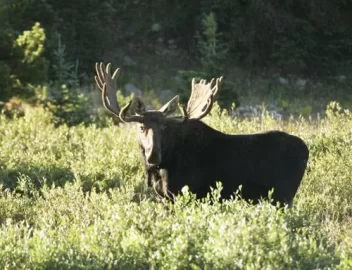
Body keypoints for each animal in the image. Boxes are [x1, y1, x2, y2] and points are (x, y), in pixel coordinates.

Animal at [95, 62, 310, 206]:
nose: (153, 155)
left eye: (165, 128)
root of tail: (306, 149)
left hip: (283, 195)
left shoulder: (186, 193)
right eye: (142, 127)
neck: (159, 171)